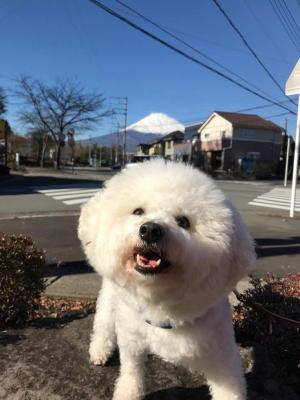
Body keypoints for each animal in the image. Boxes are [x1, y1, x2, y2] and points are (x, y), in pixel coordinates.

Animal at [78, 160, 255, 400]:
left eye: (183, 221)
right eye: (138, 211)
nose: (150, 229)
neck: (163, 305)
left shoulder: (222, 352)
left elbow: (230, 387)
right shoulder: (131, 337)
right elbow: (131, 370)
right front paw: (128, 391)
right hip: (110, 296)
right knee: (103, 323)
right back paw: (100, 349)